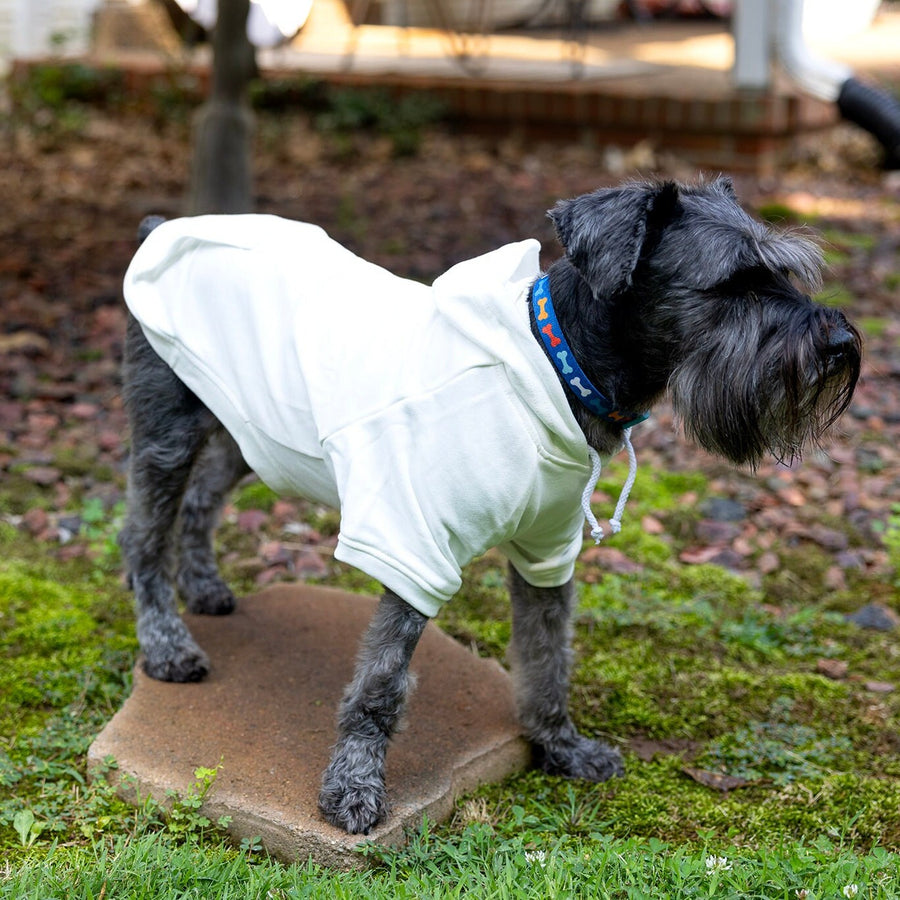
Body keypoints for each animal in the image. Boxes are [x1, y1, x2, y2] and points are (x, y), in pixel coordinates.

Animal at [118, 178, 856, 836]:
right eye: (732, 283)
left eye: (788, 274)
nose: (841, 344)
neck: (559, 368)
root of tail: (161, 228)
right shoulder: (412, 547)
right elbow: (382, 684)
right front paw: (353, 789)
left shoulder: (549, 552)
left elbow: (547, 656)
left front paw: (559, 746)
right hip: (169, 435)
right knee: (141, 540)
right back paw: (168, 646)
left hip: (253, 433)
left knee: (202, 502)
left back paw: (206, 587)